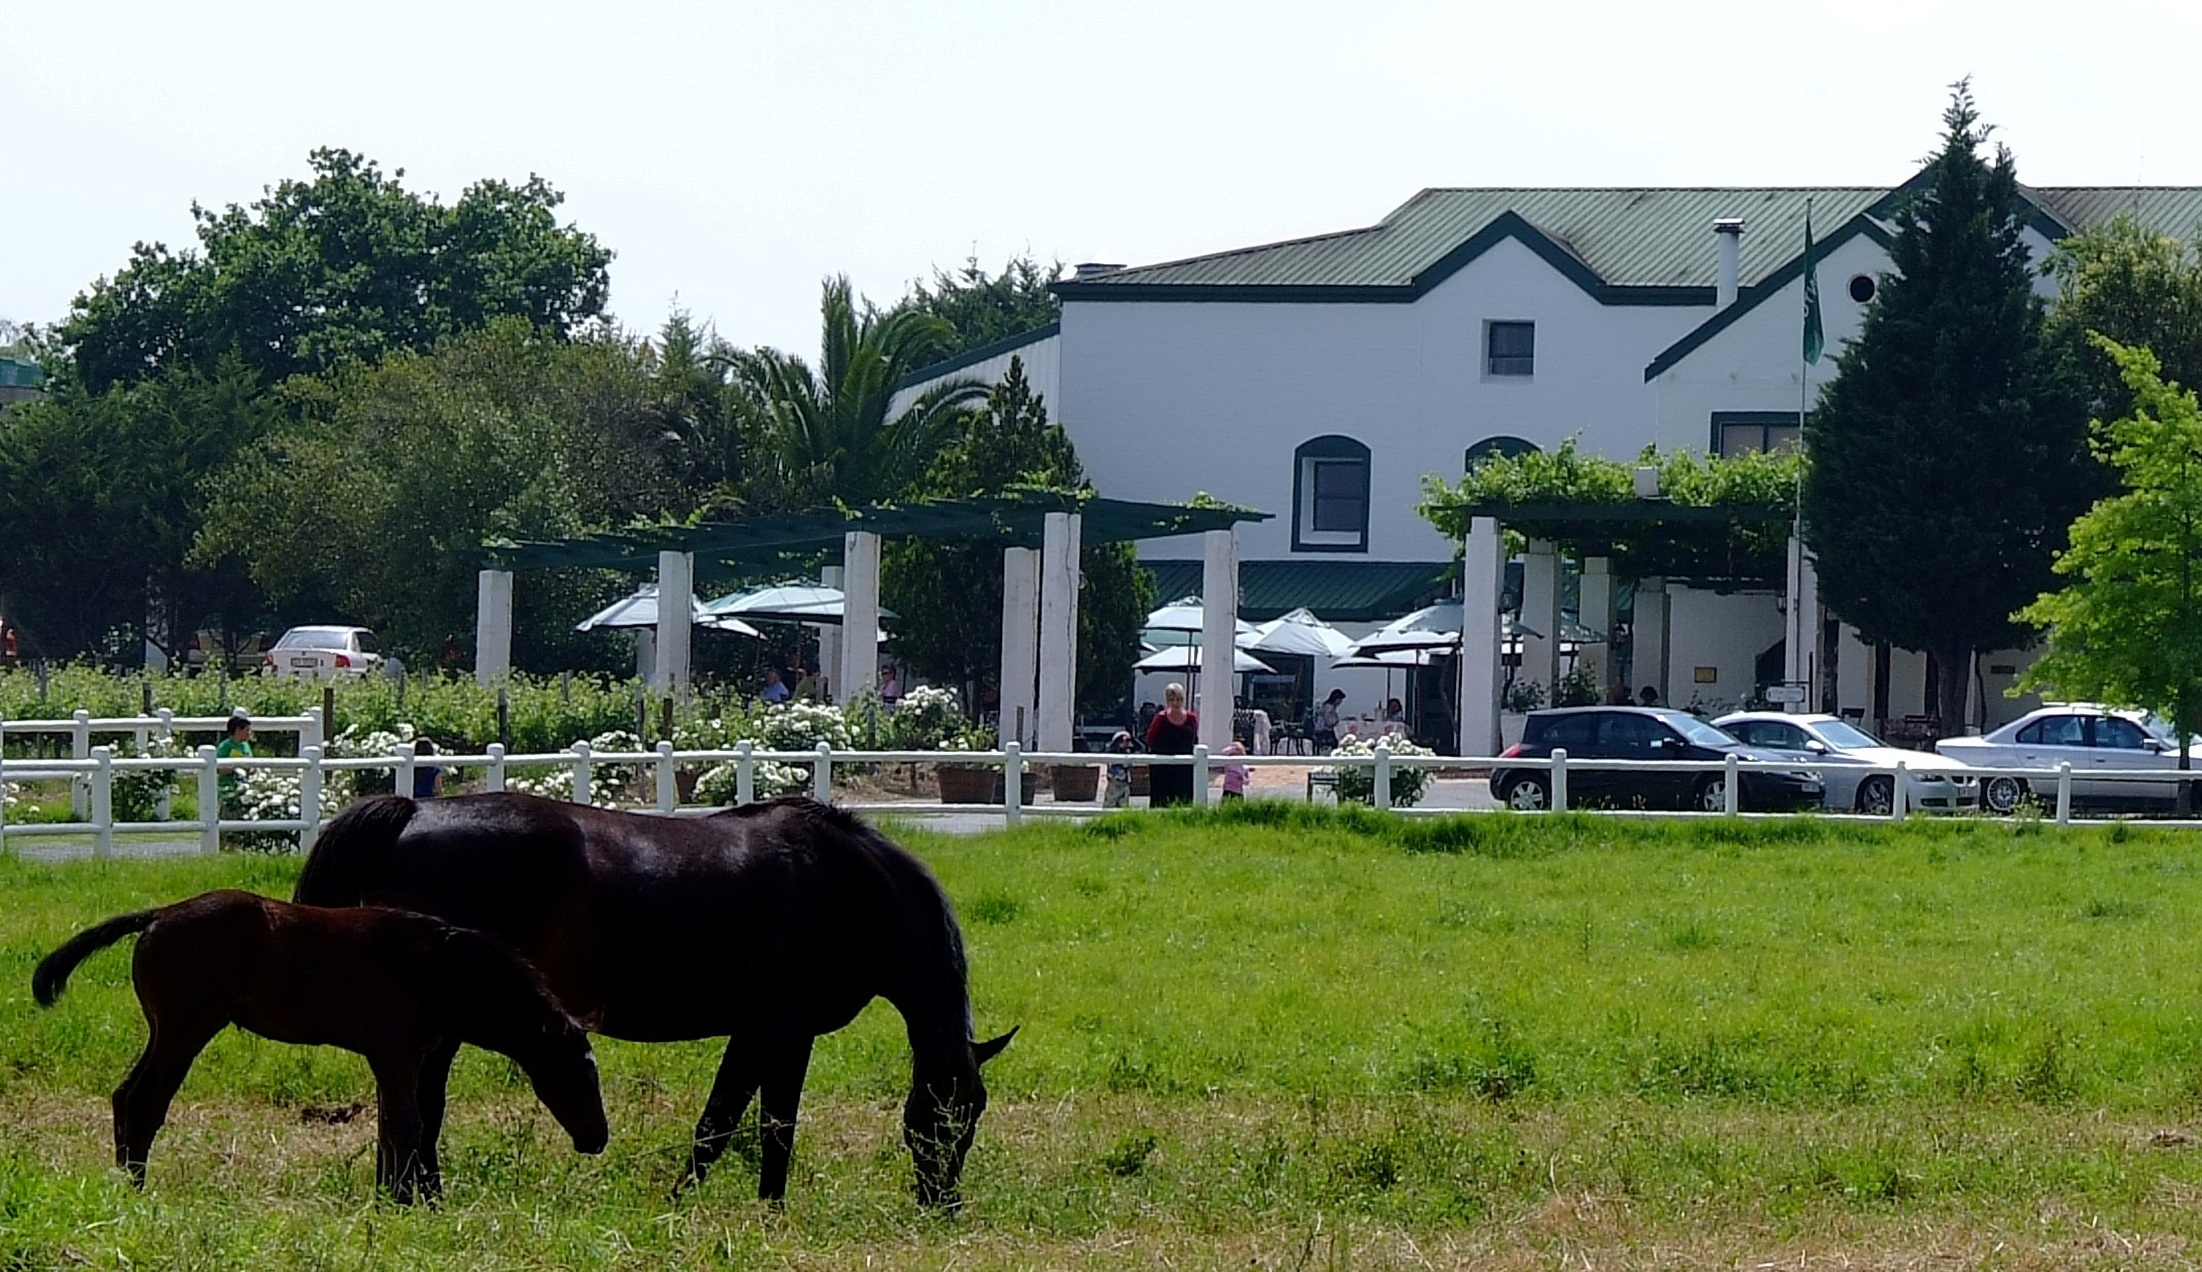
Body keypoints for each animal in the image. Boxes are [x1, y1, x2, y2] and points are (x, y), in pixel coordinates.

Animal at [34, 884, 616, 1197]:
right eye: (573, 1071)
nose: (596, 1138)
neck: (435, 968)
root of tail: (157, 915)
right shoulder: (396, 1056)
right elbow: (406, 1128)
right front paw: (399, 1202)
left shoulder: (399, 1060)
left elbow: (395, 1128)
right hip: (185, 1030)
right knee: (145, 1101)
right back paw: (137, 1187)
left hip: (164, 1031)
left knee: (123, 1096)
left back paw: (124, 1182)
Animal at [292, 787, 1012, 1205]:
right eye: (948, 1115)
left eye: (974, 1113)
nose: (942, 1203)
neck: (848, 886)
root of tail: (415, 809)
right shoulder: (788, 1029)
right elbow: (773, 1125)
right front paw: (769, 1208)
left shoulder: (752, 1031)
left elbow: (717, 1122)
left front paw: (680, 1201)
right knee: (421, 1103)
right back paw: (419, 1198)